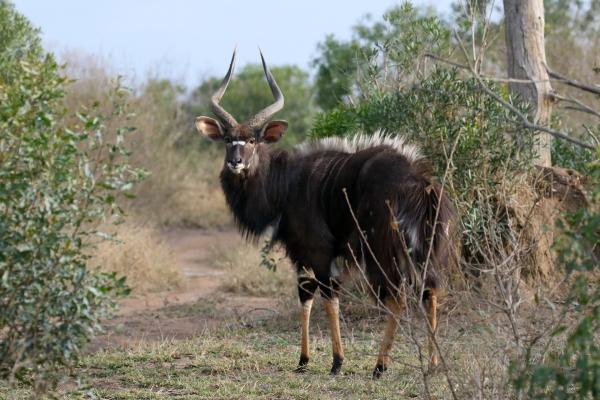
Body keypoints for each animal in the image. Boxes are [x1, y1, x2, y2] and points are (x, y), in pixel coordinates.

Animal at [197, 50, 454, 378]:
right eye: (228, 139)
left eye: (253, 140)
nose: (236, 162)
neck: (285, 182)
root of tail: (419, 183)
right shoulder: (302, 256)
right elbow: (306, 295)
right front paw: (303, 360)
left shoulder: (318, 251)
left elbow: (328, 296)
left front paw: (336, 362)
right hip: (421, 250)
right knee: (429, 290)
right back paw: (432, 365)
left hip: (381, 251)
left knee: (397, 295)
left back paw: (380, 366)